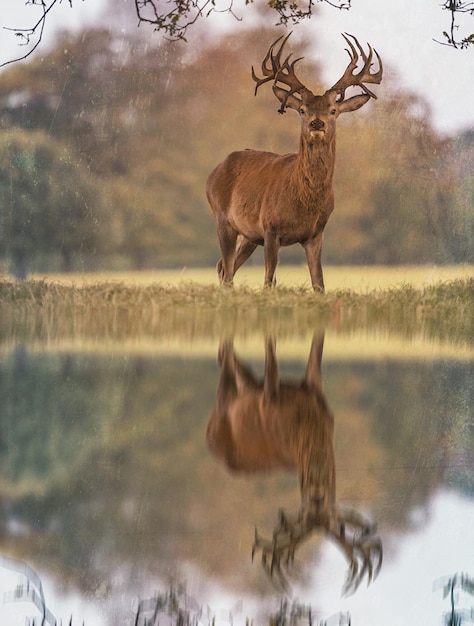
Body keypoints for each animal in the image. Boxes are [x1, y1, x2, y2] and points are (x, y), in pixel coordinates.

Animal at [206, 35, 384, 294]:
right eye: (302, 109)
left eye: (333, 110)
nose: (317, 123)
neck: (304, 202)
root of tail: (214, 172)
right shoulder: (270, 227)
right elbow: (269, 281)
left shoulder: (316, 233)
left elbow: (319, 283)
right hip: (222, 218)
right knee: (226, 269)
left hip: (248, 236)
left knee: (223, 267)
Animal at [206, 334, 382, 592]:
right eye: (308, 506)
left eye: (336, 524)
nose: (317, 494)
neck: (304, 422)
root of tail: (210, 439)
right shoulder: (269, 398)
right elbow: (271, 357)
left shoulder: (313, 389)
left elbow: (316, 350)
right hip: (227, 402)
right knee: (226, 366)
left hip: (248, 385)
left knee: (229, 360)